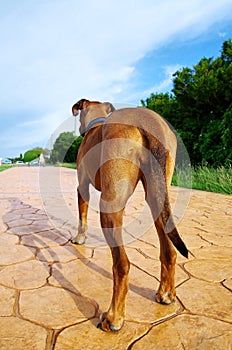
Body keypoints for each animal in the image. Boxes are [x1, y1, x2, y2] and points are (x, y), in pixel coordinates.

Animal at [71, 98, 188, 330]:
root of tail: (149, 123)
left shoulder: (82, 186)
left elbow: (82, 217)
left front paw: (80, 238)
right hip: (157, 196)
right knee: (169, 251)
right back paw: (166, 294)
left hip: (110, 206)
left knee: (122, 264)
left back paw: (114, 317)